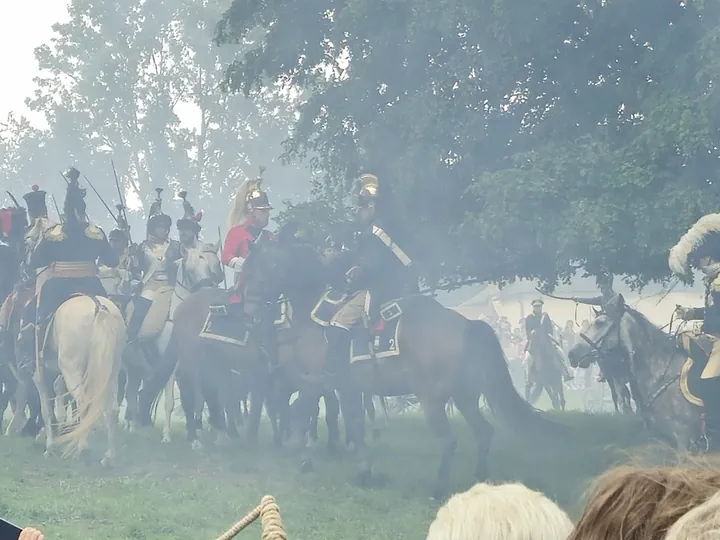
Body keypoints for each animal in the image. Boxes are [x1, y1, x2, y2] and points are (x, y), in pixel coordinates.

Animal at [33, 294, 126, 466]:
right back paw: (108, 456)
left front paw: (50, 447)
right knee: (112, 409)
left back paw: (82, 448)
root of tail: (98, 307)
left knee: (84, 402)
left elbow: (46, 411)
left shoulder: (39, 376)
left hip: (72, 370)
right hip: (111, 372)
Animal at [122, 243, 221, 440]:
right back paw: (133, 426)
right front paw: (167, 435)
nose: (207, 290)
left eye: (208, 267)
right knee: (130, 393)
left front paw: (197, 432)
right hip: (131, 366)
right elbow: (169, 402)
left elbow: (197, 399)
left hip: (140, 368)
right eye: (190, 268)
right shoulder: (171, 366)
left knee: (135, 392)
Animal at [240, 238, 564, 500]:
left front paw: (302, 458)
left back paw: (438, 490)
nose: (249, 312)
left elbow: (299, 413)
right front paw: (363, 471)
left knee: (449, 440)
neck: (314, 317)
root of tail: (466, 325)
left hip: (432, 399)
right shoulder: (347, 388)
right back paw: (480, 481)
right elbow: (354, 425)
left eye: (254, 272)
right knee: (483, 432)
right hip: (464, 397)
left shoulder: (315, 382)